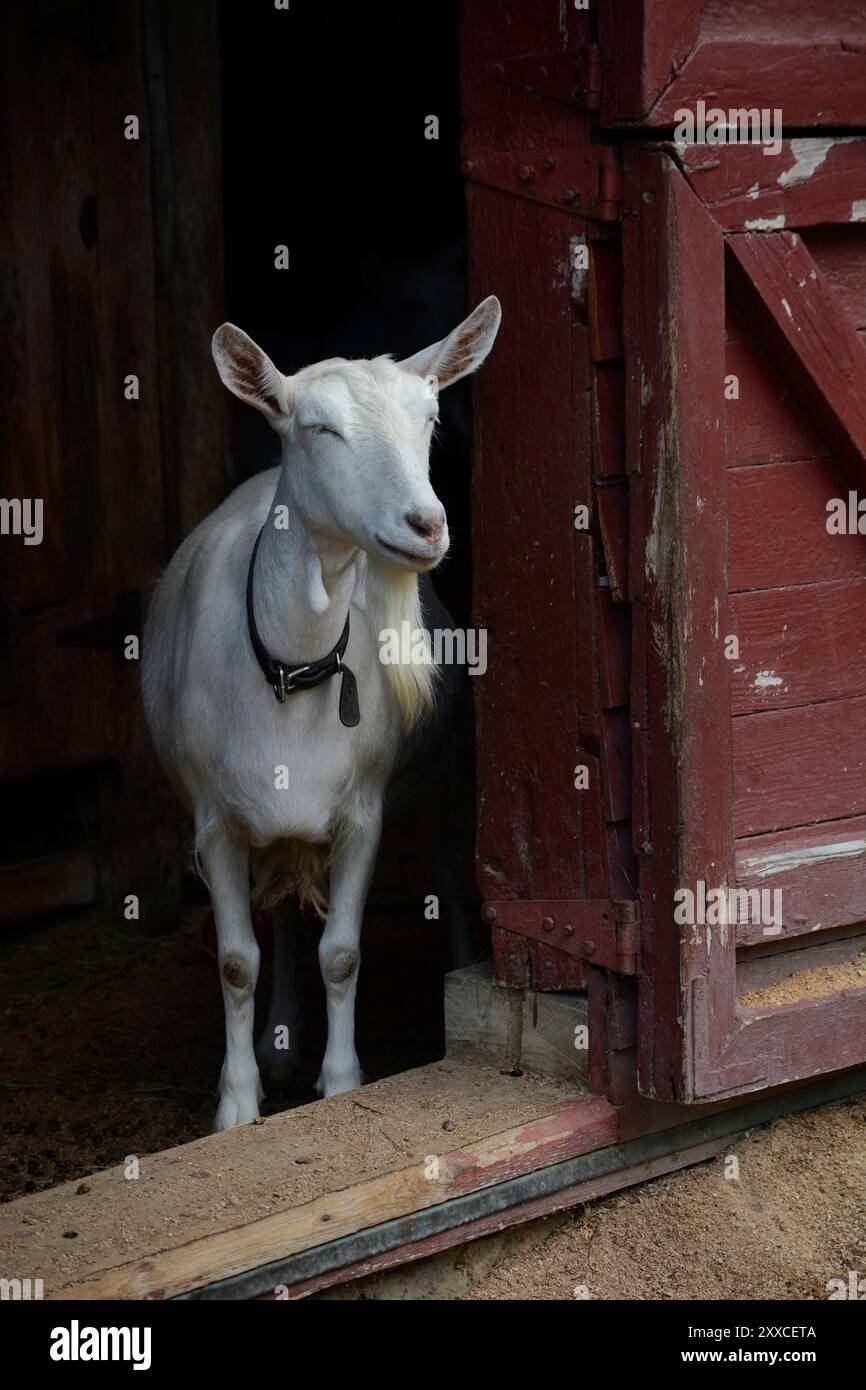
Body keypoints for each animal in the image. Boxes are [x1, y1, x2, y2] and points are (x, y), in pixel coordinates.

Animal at [142, 296, 500, 1128]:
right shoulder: (215, 822)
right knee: (279, 922)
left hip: (447, 770)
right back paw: (279, 1041)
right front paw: (237, 1105)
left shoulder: (362, 812)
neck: (290, 668)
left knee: (445, 862)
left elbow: (341, 951)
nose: (426, 524)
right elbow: (238, 961)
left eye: (430, 419)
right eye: (319, 428)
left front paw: (341, 1083)